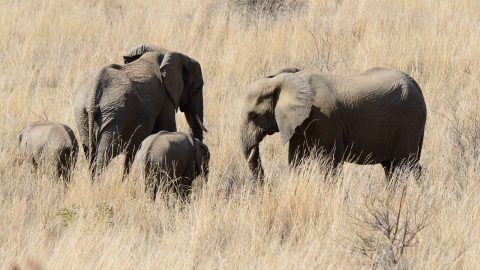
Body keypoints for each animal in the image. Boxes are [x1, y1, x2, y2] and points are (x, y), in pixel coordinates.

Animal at [74, 44, 205, 177]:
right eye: (198, 87)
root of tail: (93, 94)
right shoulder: (165, 99)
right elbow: (168, 128)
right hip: (113, 114)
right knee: (104, 154)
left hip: (83, 116)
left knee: (91, 152)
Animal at [240, 67, 428, 181]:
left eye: (253, 115)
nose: (264, 186)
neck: (288, 80)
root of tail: (417, 87)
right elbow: (296, 158)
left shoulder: (325, 120)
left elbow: (329, 163)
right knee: (395, 168)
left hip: (409, 121)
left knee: (404, 164)